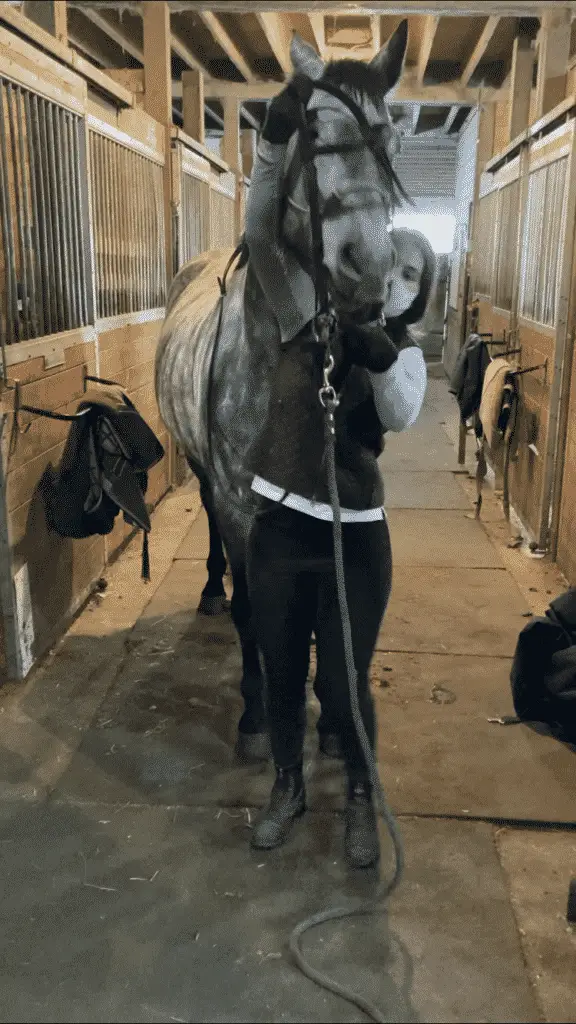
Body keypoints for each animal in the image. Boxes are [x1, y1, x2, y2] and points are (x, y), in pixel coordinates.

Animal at [153, 24, 407, 761]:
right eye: (312, 130)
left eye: (388, 137)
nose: (367, 268)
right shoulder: (243, 507)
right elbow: (253, 611)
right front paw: (255, 714)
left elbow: (330, 615)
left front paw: (330, 722)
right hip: (205, 474)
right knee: (213, 532)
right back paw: (211, 588)